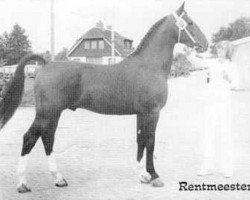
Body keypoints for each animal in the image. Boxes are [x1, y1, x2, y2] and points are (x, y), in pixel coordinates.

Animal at [0, 2, 207, 193]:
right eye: (190, 23)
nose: (205, 44)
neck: (148, 66)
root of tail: (45, 64)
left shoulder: (141, 114)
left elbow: (140, 140)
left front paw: (142, 175)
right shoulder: (152, 112)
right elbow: (150, 141)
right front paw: (154, 175)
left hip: (52, 114)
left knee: (47, 138)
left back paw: (58, 179)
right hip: (47, 113)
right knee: (30, 138)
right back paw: (23, 184)